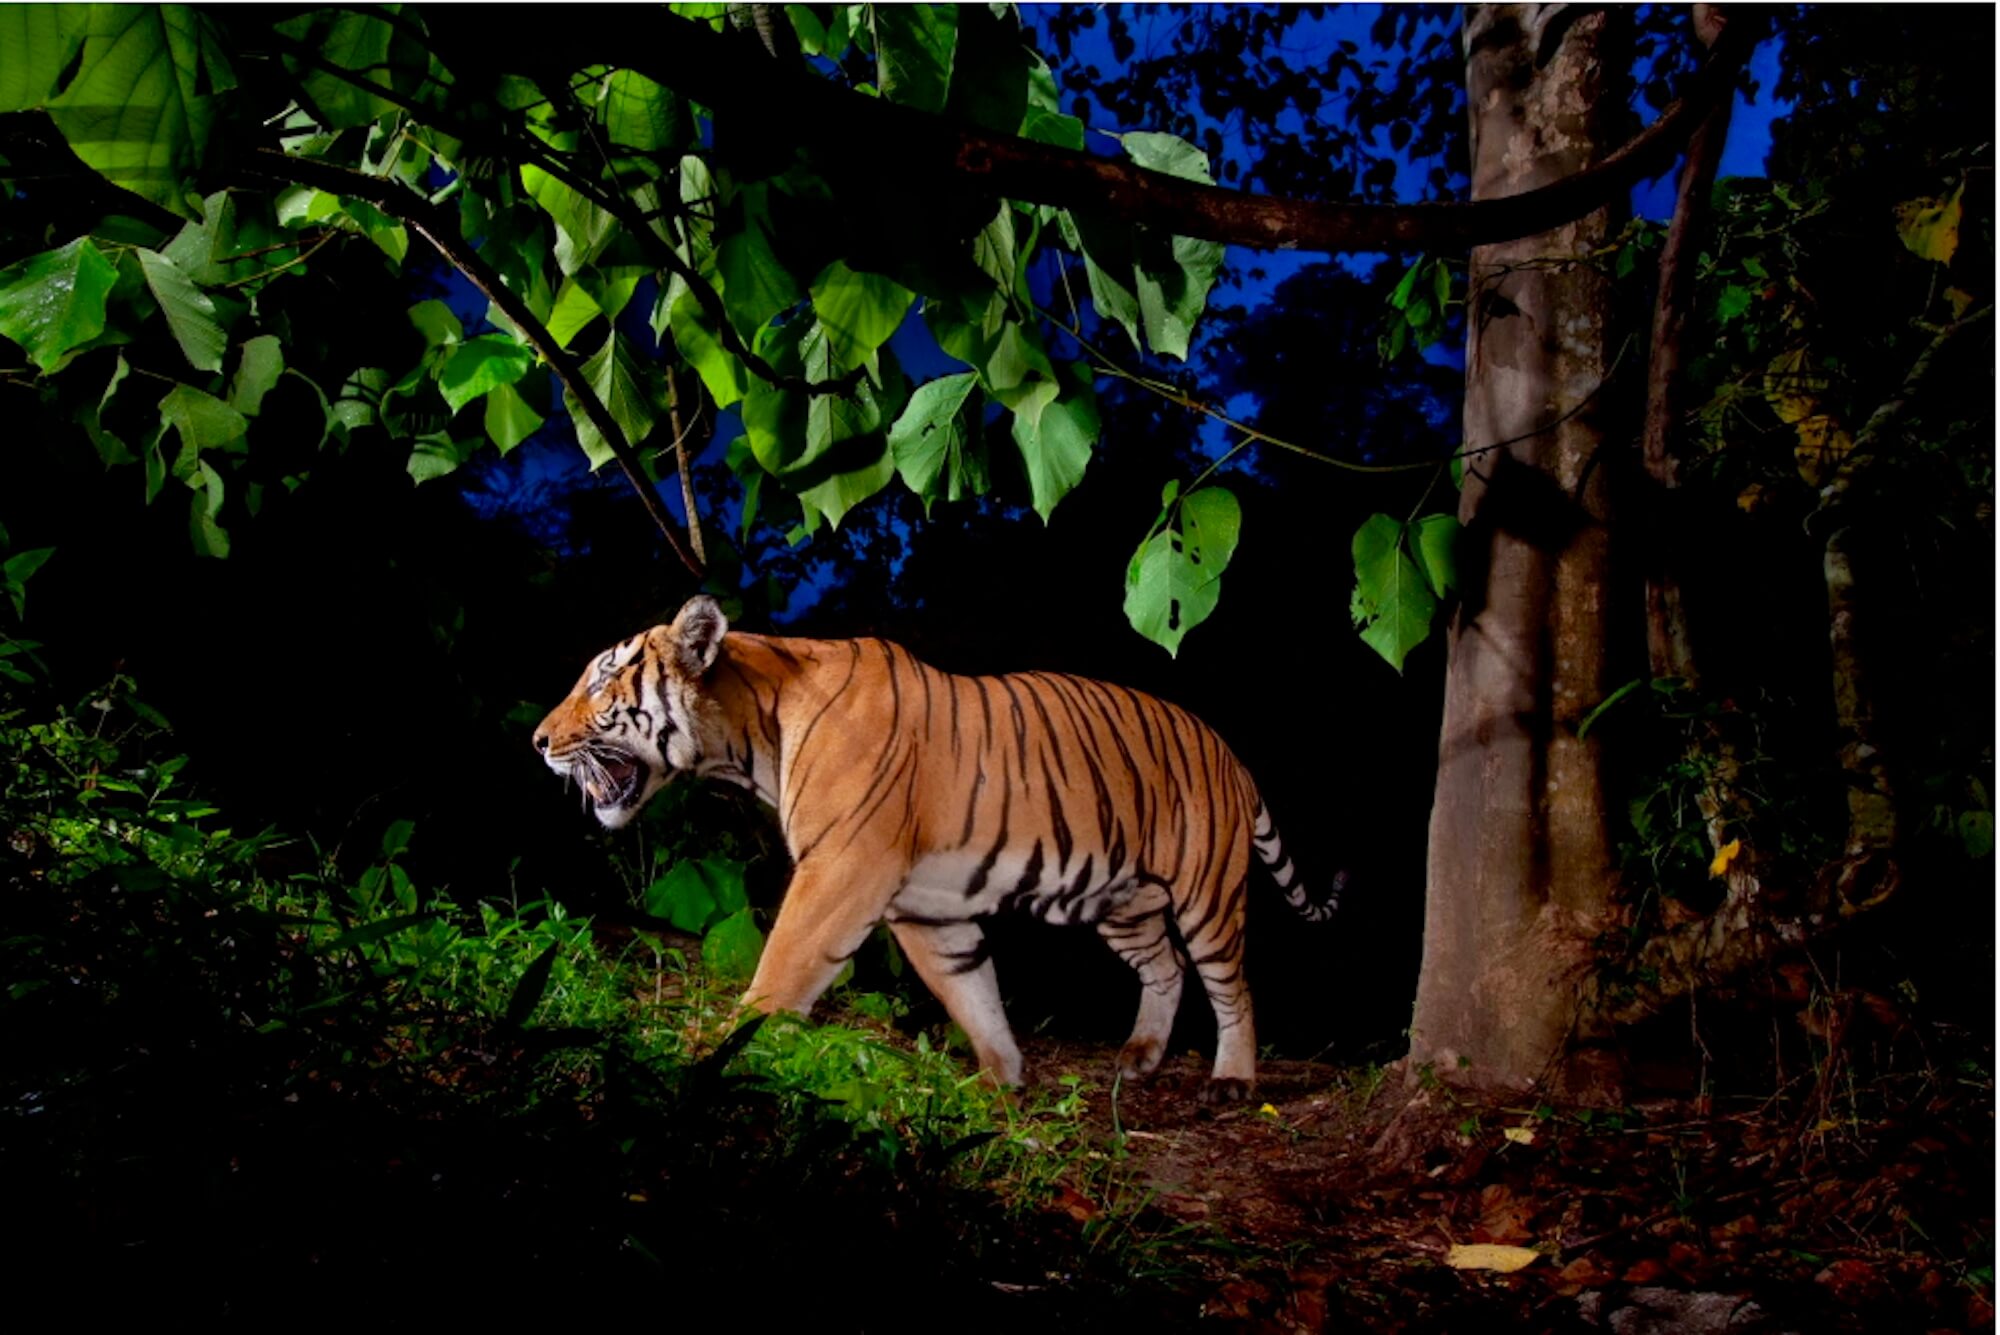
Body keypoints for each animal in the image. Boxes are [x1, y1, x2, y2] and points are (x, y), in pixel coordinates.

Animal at [532, 595, 1340, 1099]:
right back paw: (1139, 1057)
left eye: (602, 680)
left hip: (1206, 893)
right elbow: (970, 990)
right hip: (1121, 900)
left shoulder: (841, 870)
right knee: (1165, 966)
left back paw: (1233, 1077)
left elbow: (782, 966)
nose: (538, 741)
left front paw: (717, 1047)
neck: (749, 734)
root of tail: (1232, 755)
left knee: (1232, 984)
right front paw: (1002, 1077)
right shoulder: (927, 906)